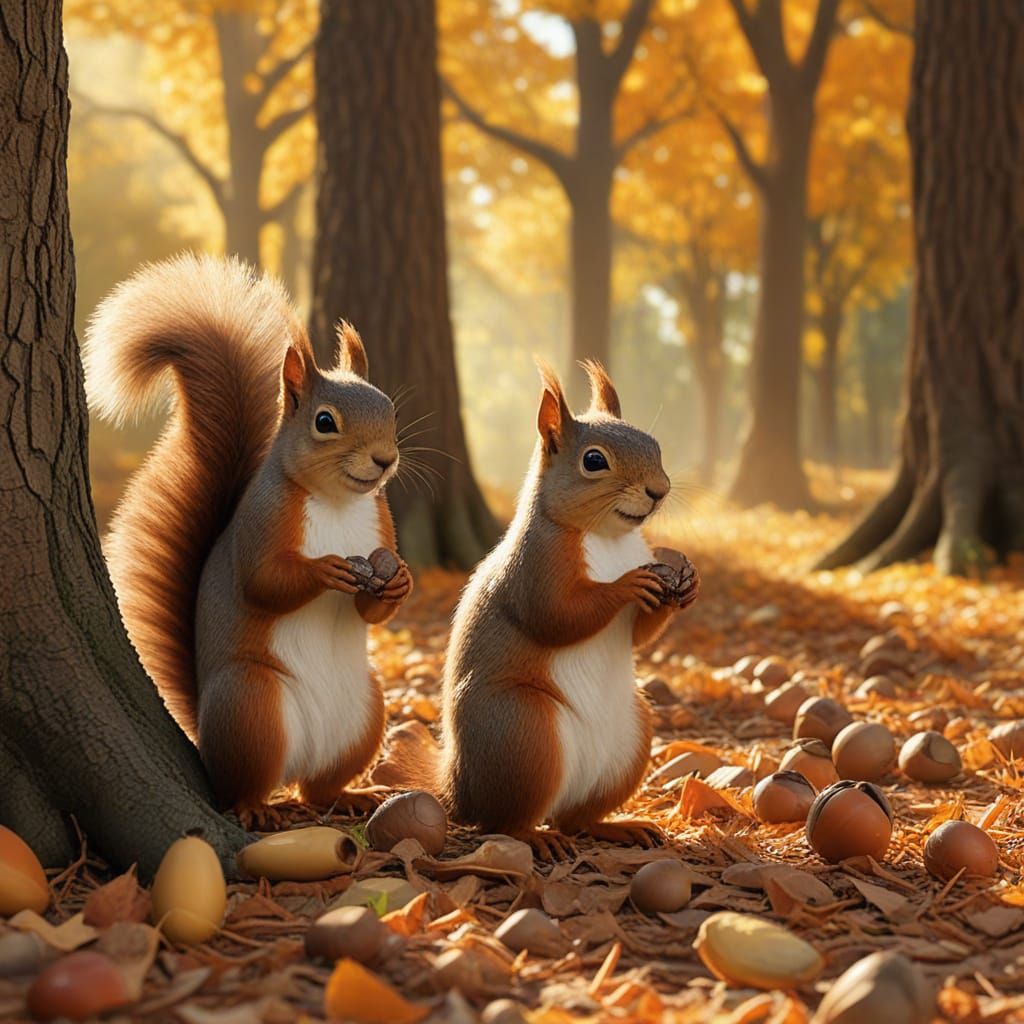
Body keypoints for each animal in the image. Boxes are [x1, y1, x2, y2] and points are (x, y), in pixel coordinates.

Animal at [84, 253, 413, 812]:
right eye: (325, 422)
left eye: (390, 409)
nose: (384, 459)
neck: (336, 503)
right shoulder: (262, 520)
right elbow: (263, 582)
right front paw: (325, 570)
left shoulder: (380, 523)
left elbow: (375, 609)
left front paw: (399, 581)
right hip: (251, 705)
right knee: (245, 783)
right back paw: (254, 809)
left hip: (366, 708)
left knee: (318, 787)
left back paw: (348, 795)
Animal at [433, 360, 699, 856]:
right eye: (593, 461)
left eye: (654, 445)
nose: (659, 489)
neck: (609, 538)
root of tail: (459, 792)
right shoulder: (534, 568)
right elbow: (556, 618)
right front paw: (627, 584)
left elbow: (639, 635)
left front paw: (688, 584)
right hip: (522, 730)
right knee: (504, 821)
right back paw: (534, 838)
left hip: (630, 738)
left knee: (576, 818)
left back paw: (617, 827)